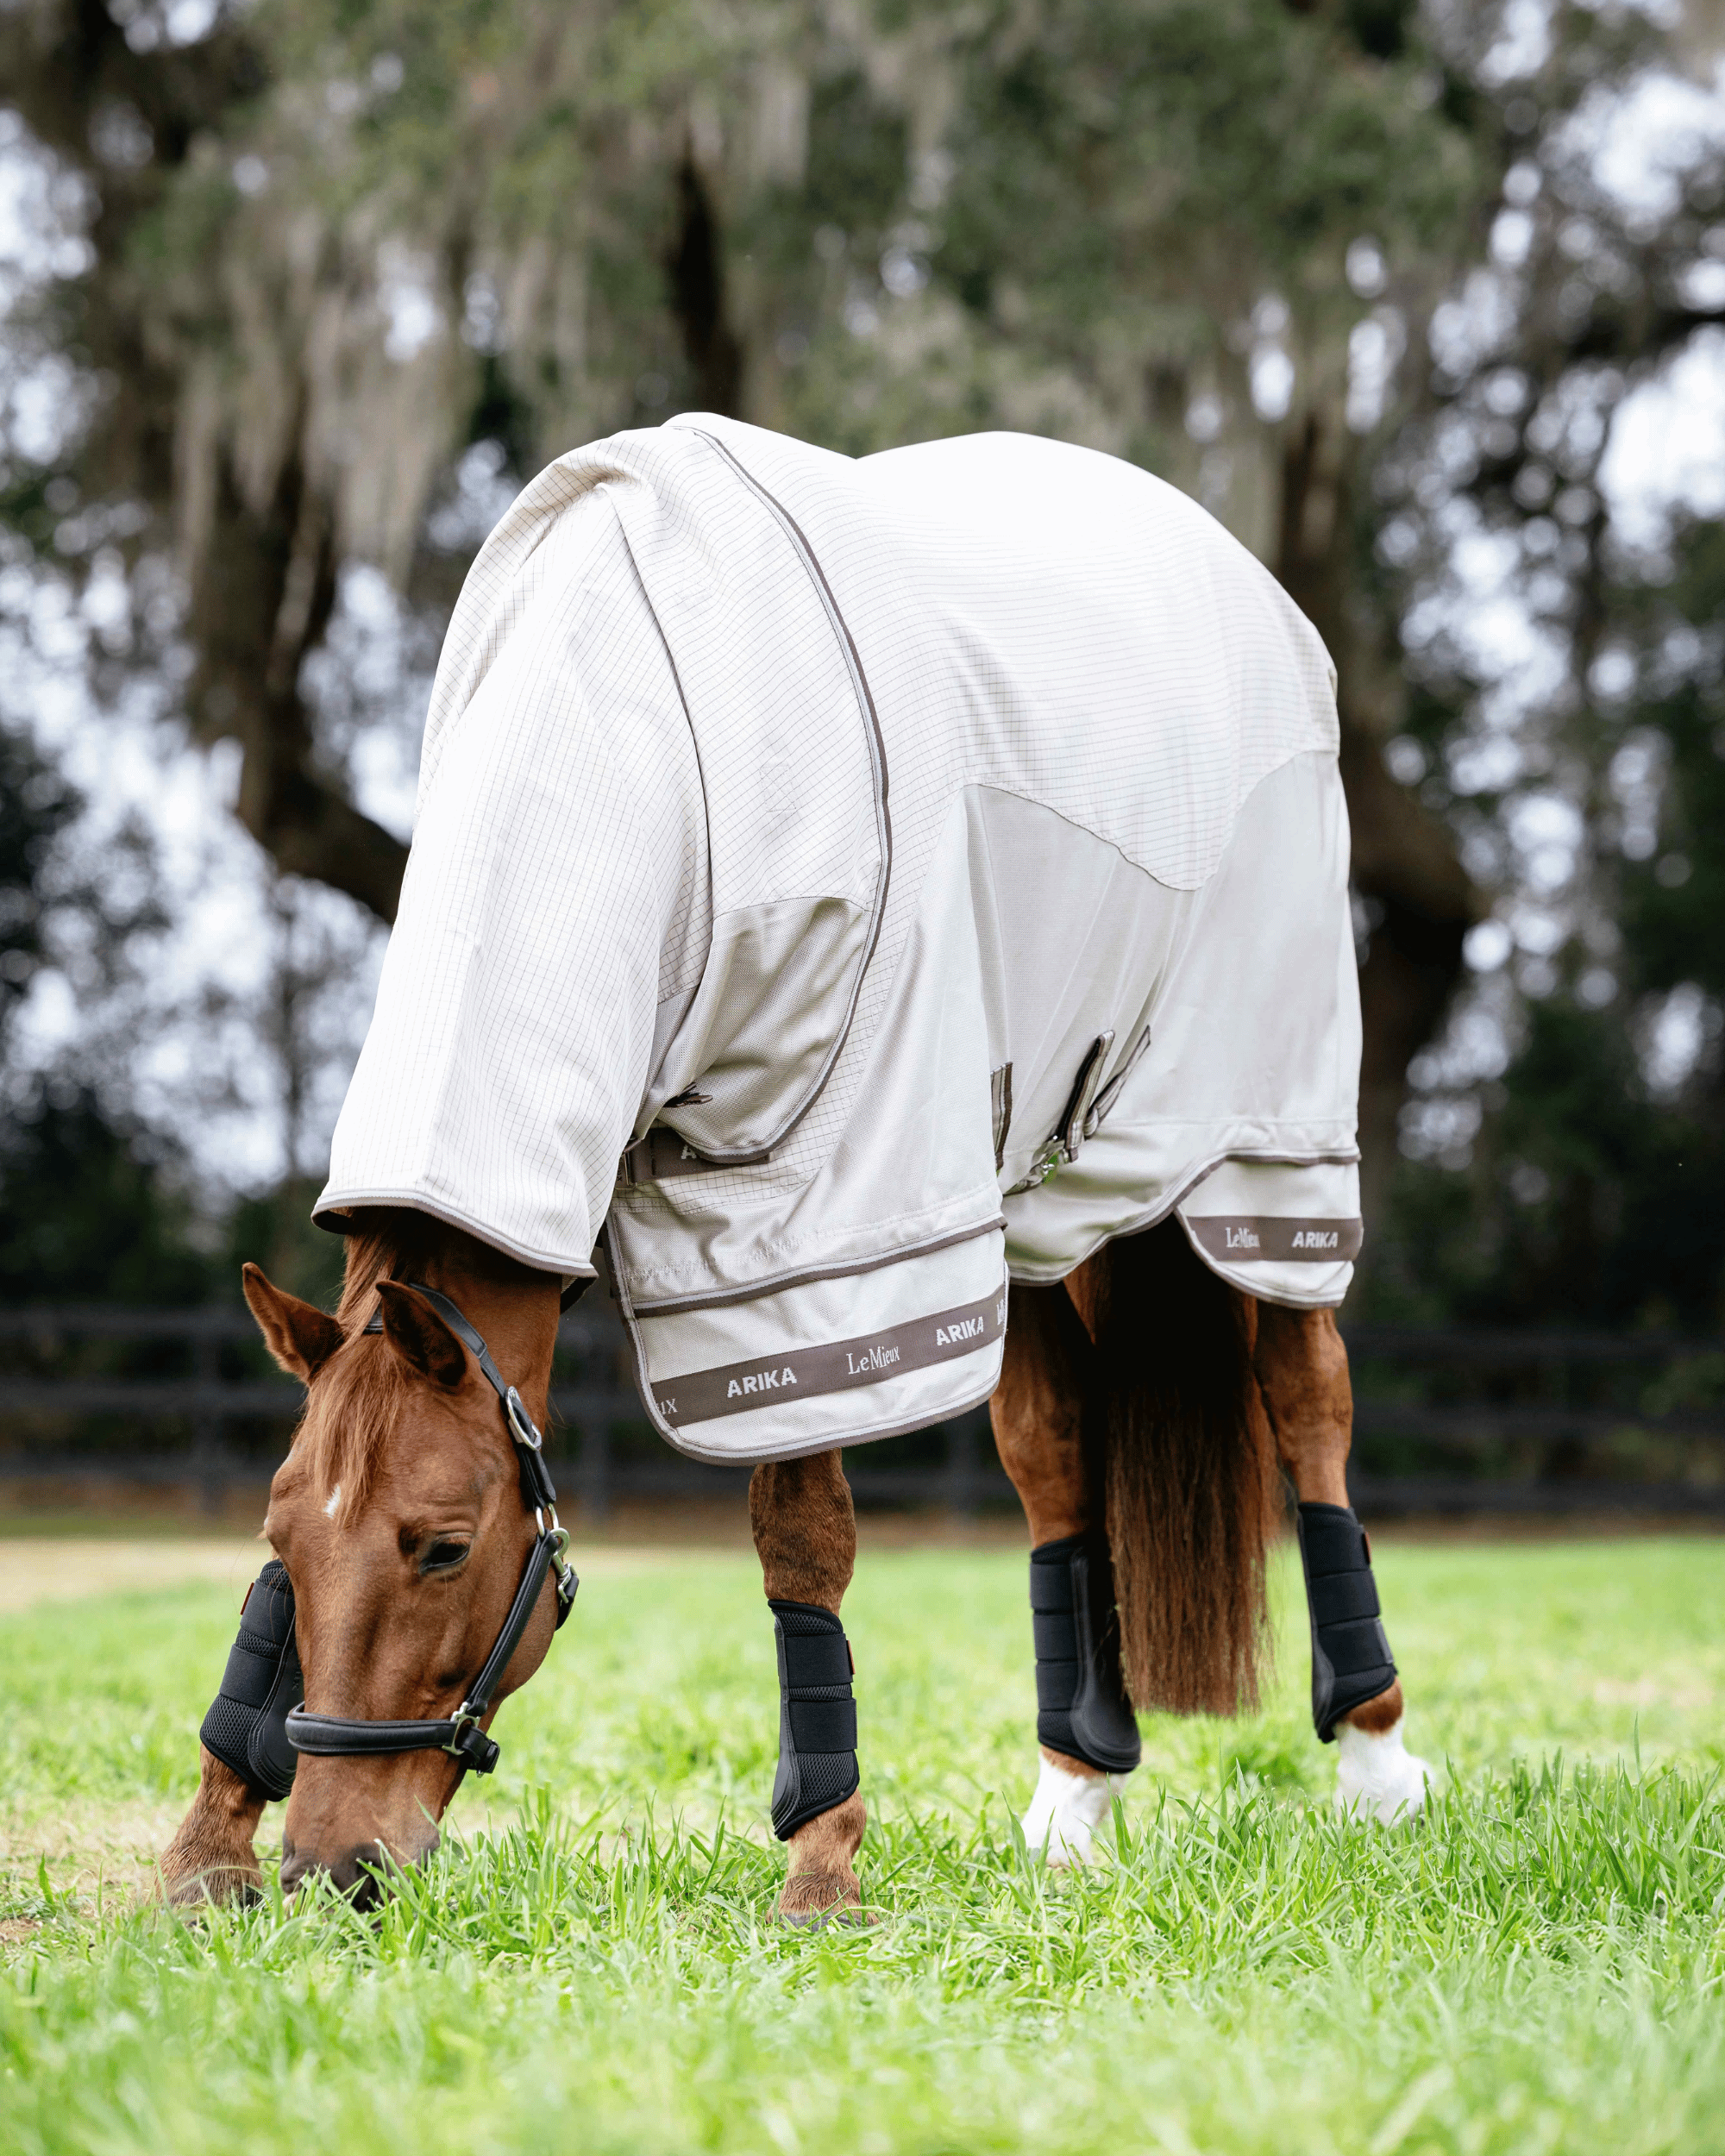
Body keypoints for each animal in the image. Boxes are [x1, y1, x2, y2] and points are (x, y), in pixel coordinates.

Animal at [160, 417, 1430, 1914]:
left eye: (445, 1547)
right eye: (283, 1542)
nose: (334, 1867)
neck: (634, 736)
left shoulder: (808, 1212)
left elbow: (802, 1537)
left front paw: (821, 1867)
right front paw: (204, 1847)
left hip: (1262, 1157)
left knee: (1309, 1403)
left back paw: (1377, 1767)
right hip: (1036, 1200)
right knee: (1058, 1453)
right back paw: (1072, 1801)